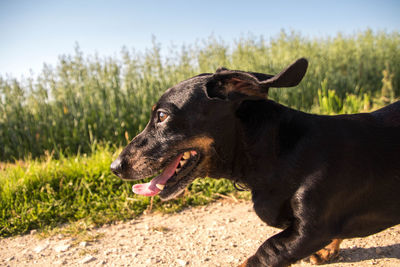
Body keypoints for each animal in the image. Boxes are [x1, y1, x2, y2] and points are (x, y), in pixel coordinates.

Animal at [110, 59, 400, 267]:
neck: (280, 152)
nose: (114, 167)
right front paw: (329, 250)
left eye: (161, 115)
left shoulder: (308, 230)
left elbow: (265, 252)